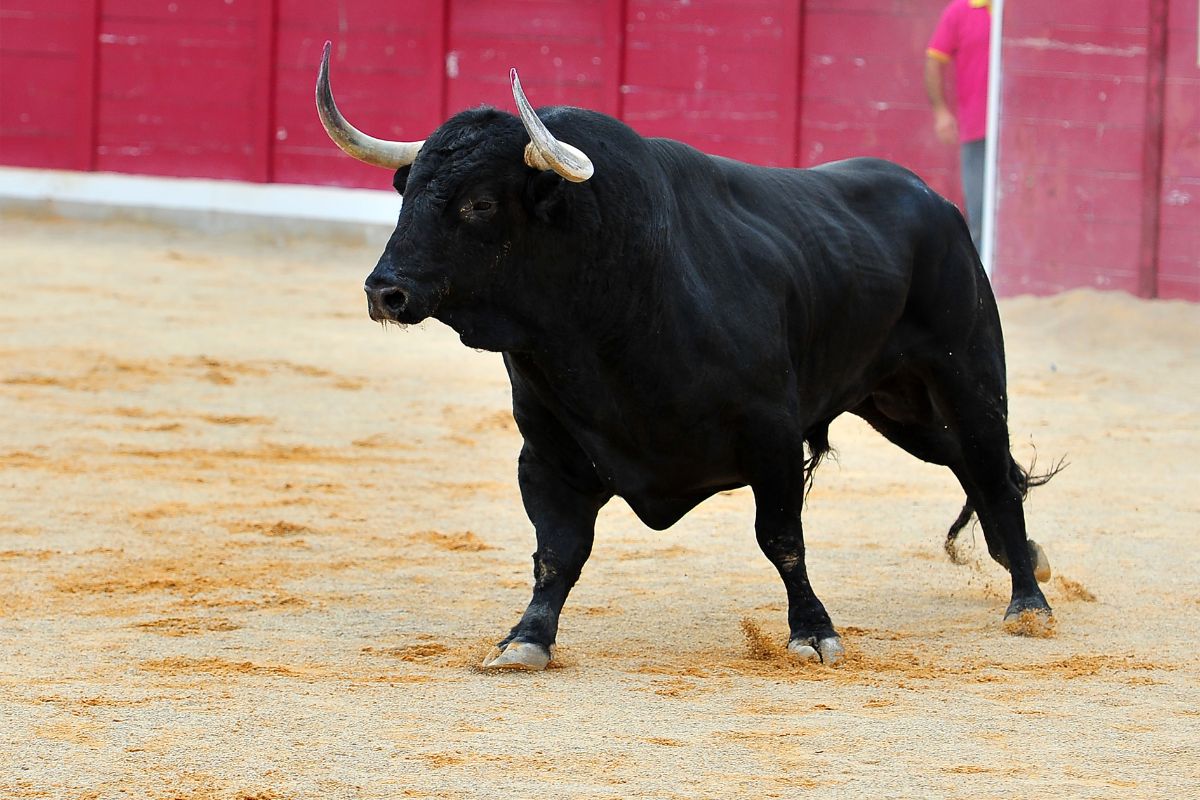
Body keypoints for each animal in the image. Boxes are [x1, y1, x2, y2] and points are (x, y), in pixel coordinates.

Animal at [314, 43, 1056, 671]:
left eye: (479, 203)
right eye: (408, 194)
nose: (384, 290)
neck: (614, 307)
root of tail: (936, 201)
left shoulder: (771, 436)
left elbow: (781, 537)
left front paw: (813, 632)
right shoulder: (547, 450)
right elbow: (557, 550)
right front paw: (525, 639)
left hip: (968, 374)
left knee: (991, 468)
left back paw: (1029, 602)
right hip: (899, 405)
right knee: (974, 466)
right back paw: (1024, 560)